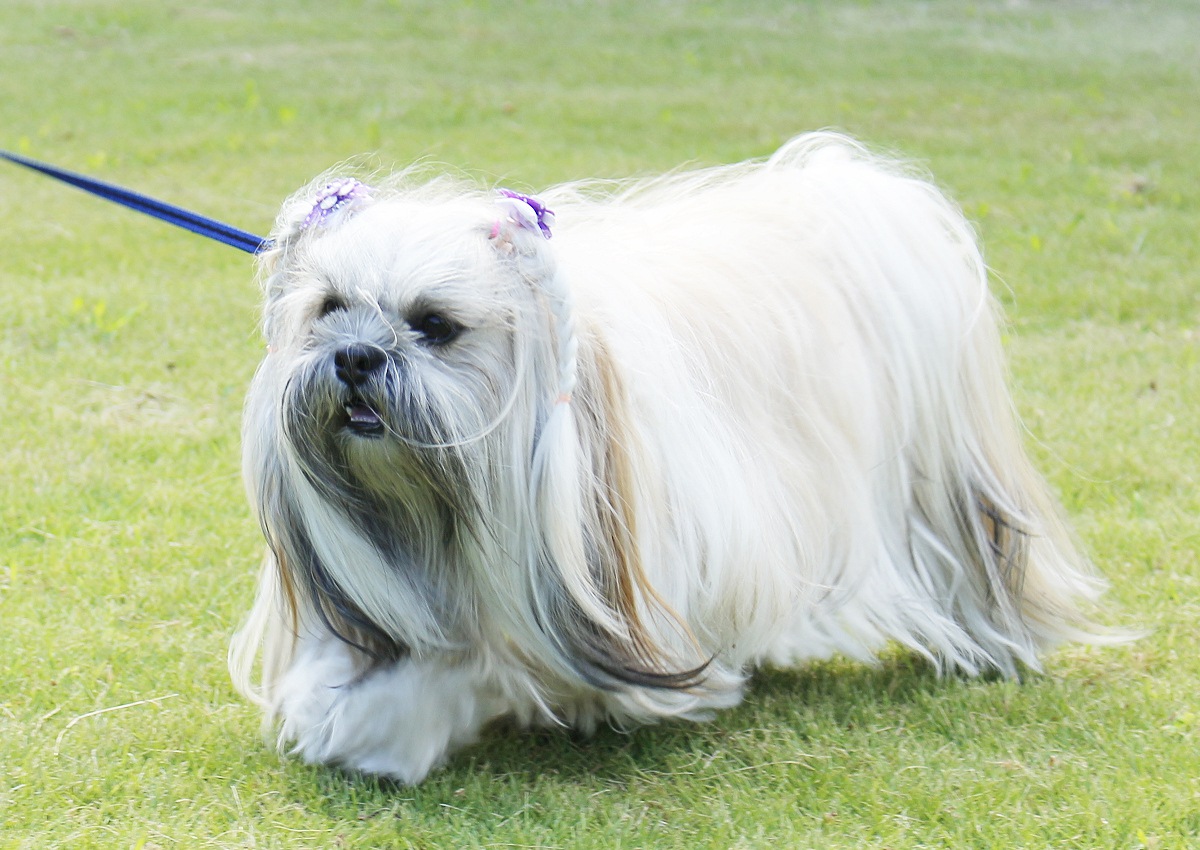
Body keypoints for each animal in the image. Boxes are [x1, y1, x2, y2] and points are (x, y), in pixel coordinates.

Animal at [229, 130, 1108, 782]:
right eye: (330, 309)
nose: (355, 358)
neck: (435, 513)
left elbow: (479, 663)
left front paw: (376, 727)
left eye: (435, 325)